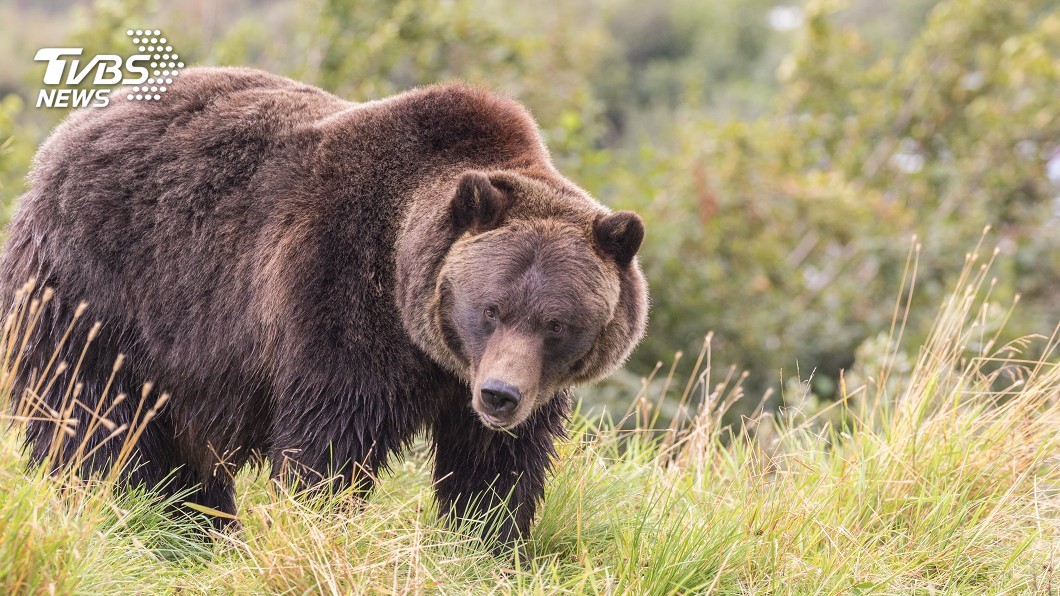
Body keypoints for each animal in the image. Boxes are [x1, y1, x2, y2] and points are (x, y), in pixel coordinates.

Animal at [0, 66, 648, 550]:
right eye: (490, 308)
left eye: (557, 323)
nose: (498, 395)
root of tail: (61, 142)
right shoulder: (339, 298)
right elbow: (330, 443)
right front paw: (317, 526)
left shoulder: (520, 383)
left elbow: (497, 468)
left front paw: (488, 543)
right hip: (101, 293)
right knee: (90, 420)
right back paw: (115, 510)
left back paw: (202, 532)